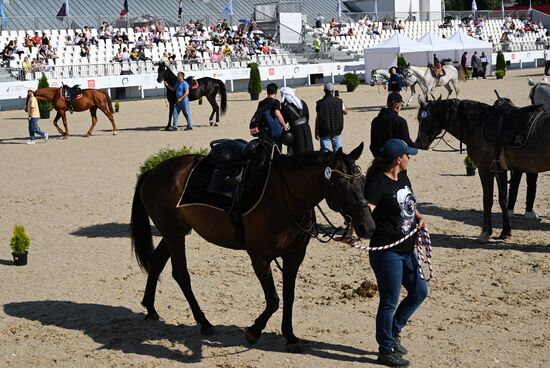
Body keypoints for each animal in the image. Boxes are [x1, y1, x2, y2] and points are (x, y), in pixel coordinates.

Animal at [132, 142, 378, 352]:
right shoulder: (260, 258)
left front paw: (290, 336)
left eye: (363, 180)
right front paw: (253, 331)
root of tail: (152, 171)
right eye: (342, 184)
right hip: (173, 234)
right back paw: (204, 322)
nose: (368, 227)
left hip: (174, 232)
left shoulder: (294, 257)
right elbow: (274, 300)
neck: (282, 198)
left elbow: (288, 296)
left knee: (157, 262)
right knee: (181, 274)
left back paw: (151, 308)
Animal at [418, 98, 550, 242]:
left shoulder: (485, 169)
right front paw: (505, 231)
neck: (478, 123)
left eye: (423, 119)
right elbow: (503, 199)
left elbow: (487, 200)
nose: (419, 142)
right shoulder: (499, 170)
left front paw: (485, 232)